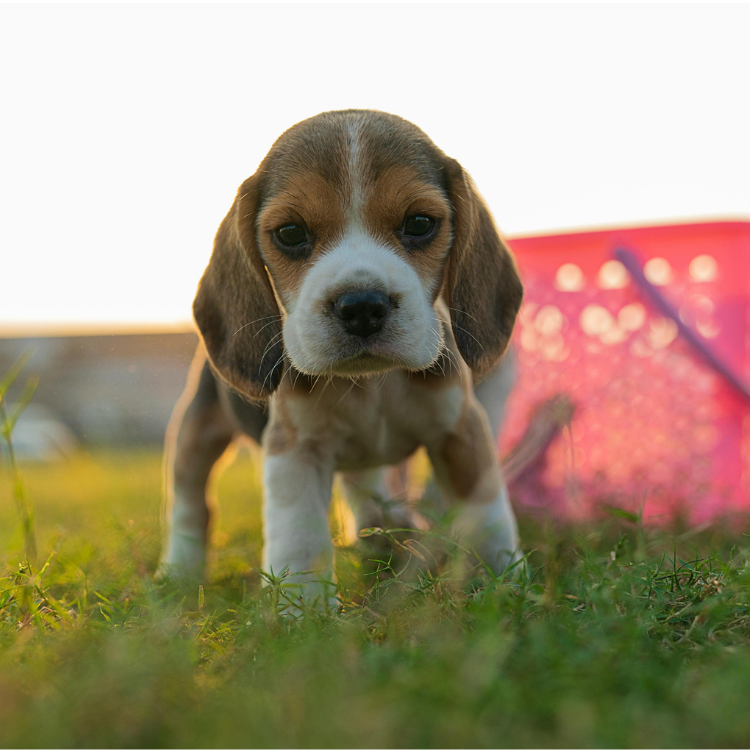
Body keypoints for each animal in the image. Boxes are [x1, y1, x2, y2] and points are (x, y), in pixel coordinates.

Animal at [159, 110, 524, 604]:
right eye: (290, 233)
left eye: (420, 223)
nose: (362, 306)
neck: (373, 384)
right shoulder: (294, 449)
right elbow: (300, 538)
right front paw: (303, 610)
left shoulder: (461, 429)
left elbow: (487, 513)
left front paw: (504, 584)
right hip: (196, 431)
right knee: (191, 503)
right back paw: (178, 570)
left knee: (365, 489)